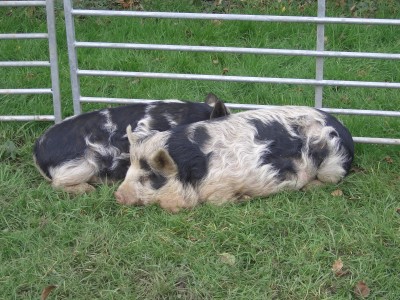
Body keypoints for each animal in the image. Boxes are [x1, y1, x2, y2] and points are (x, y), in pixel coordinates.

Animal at [115, 106, 354, 213]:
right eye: (128, 171)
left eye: (147, 177)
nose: (117, 195)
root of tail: (345, 131)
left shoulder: (223, 184)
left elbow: (215, 201)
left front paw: (243, 199)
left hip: (332, 166)